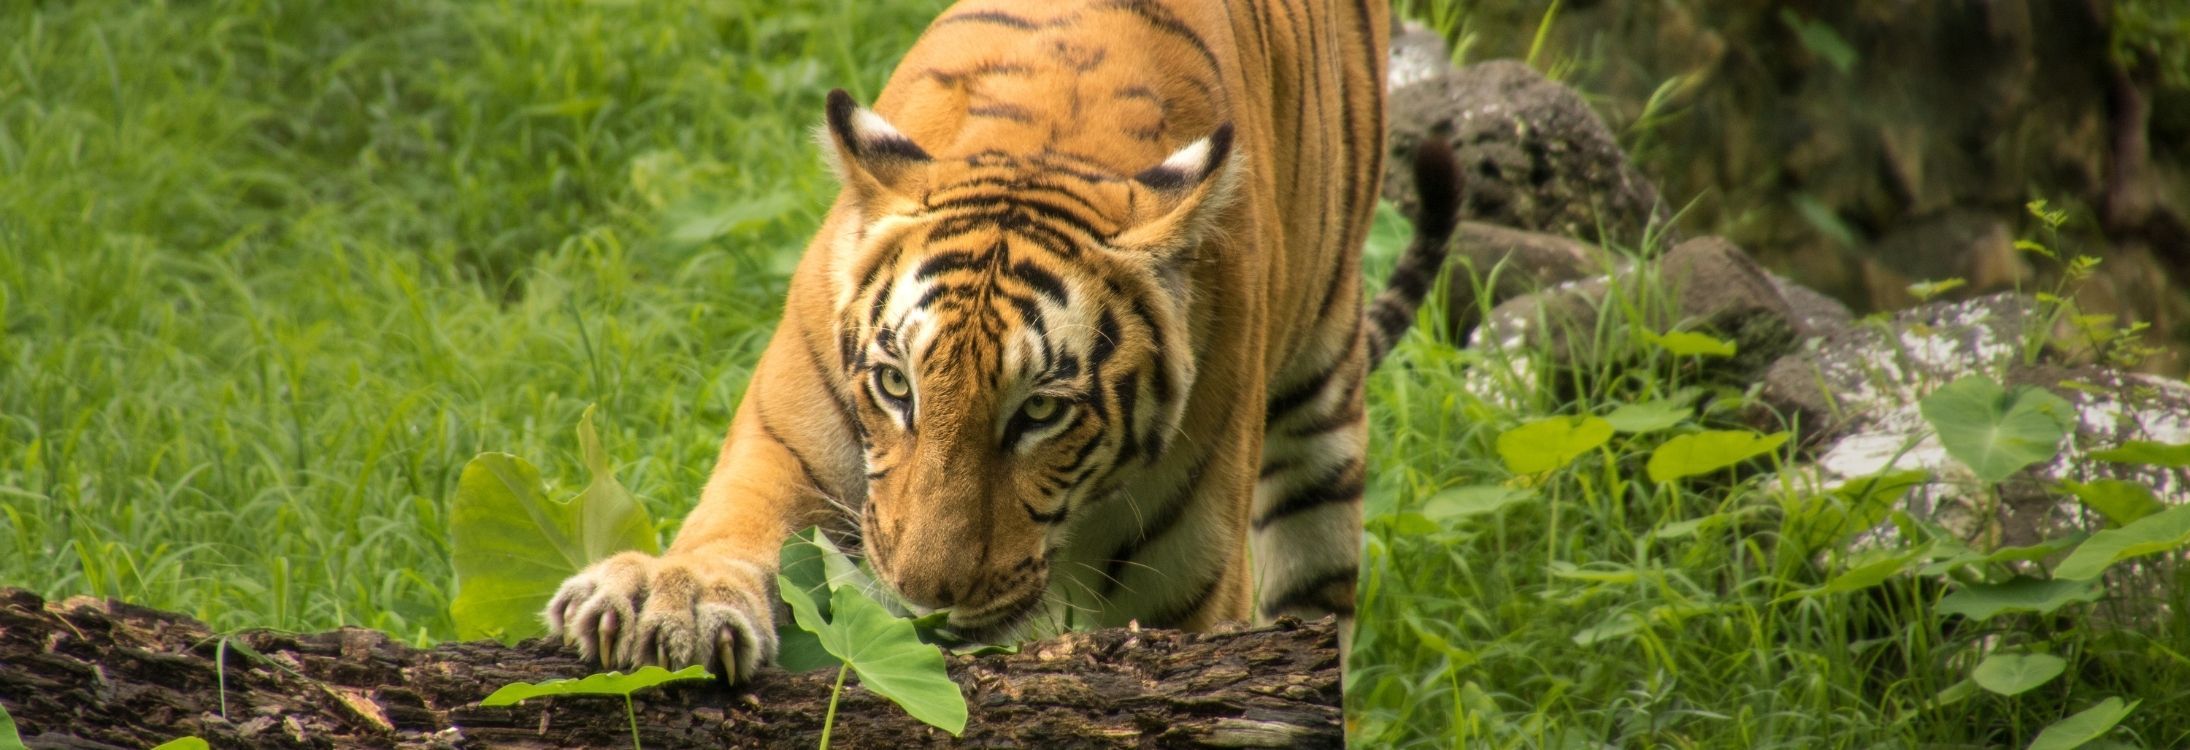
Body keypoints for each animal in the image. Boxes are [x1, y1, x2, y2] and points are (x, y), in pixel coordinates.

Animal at [540, 0, 1462, 684]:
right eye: (897, 387)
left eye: (1042, 412)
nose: (925, 598)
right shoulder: (787, 447)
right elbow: (734, 525)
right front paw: (667, 601)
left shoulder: (1187, 589)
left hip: (1322, 408)